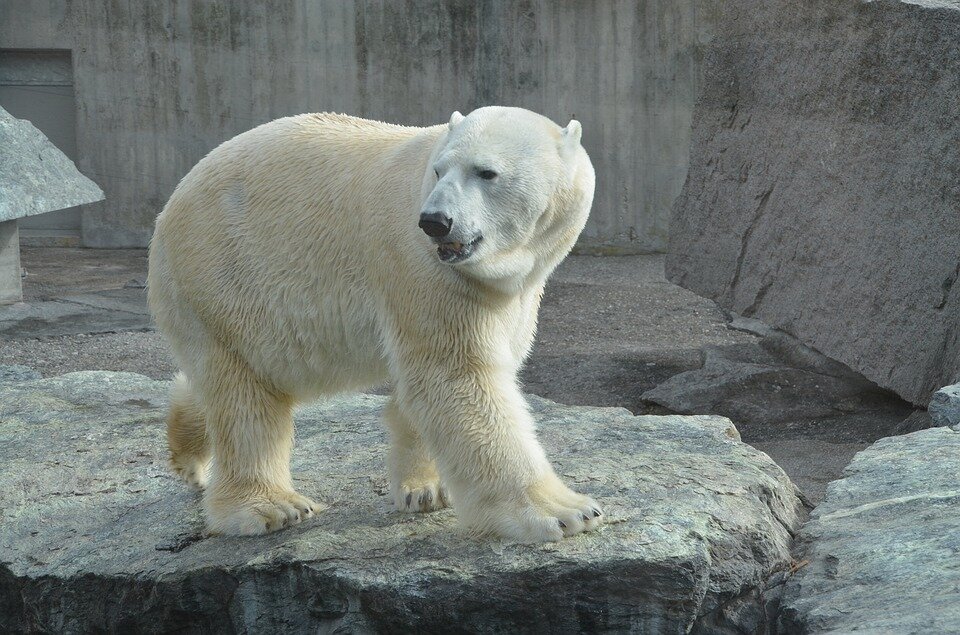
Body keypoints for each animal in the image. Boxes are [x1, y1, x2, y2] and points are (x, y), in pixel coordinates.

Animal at [148, 107, 600, 544]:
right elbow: (459, 376)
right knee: (243, 392)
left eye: (486, 172)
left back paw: (190, 454)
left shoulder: (511, 291)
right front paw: (567, 512)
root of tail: (171, 204)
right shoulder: (424, 267)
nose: (436, 221)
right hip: (224, 275)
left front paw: (424, 489)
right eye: (440, 170)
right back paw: (271, 507)